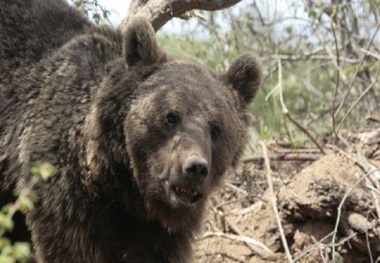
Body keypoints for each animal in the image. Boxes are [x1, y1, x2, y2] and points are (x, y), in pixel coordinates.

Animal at [0, 1, 262, 262]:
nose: (195, 168)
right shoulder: (64, 200)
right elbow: (69, 248)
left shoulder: (158, 231)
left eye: (216, 129)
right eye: (170, 117)